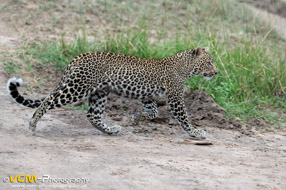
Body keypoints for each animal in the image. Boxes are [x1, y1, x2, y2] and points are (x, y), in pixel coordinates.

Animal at [6, 47, 217, 140]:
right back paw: (33, 123)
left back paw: (110, 130)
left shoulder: (147, 96)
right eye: (209, 62)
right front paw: (195, 132)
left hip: (100, 92)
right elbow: (183, 117)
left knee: (92, 115)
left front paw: (136, 117)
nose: (216, 73)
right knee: (49, 100)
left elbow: (153, 112)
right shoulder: (174, 97)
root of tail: (78, 57)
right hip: (77, 88)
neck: (185, 67)